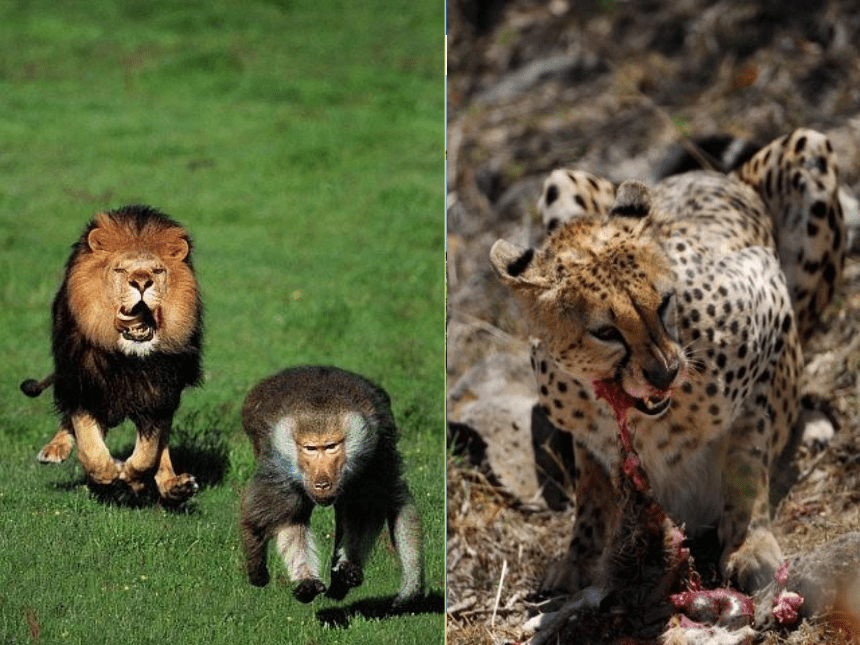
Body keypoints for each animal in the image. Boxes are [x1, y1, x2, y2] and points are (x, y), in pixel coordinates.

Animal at [21, 204, 203, 500]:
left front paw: (131, 477)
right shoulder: (84, 383)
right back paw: (55, 449)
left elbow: (148, 453)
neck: (127, 359)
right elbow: (91, 450)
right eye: (119, 270)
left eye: (157, 270)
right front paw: (111, 471)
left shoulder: (159, 391)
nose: (141, 283)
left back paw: (175, 485)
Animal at [490, 128, 848, 596]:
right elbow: (592, 488)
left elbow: (747, 455)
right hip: (560, 180)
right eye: (605, 331)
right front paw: (581, 557)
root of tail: (708, 174)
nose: (666, 373)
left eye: (663, 304)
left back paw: (811, 422)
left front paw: (748, 544)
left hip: (808, 149)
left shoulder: (769, 299)